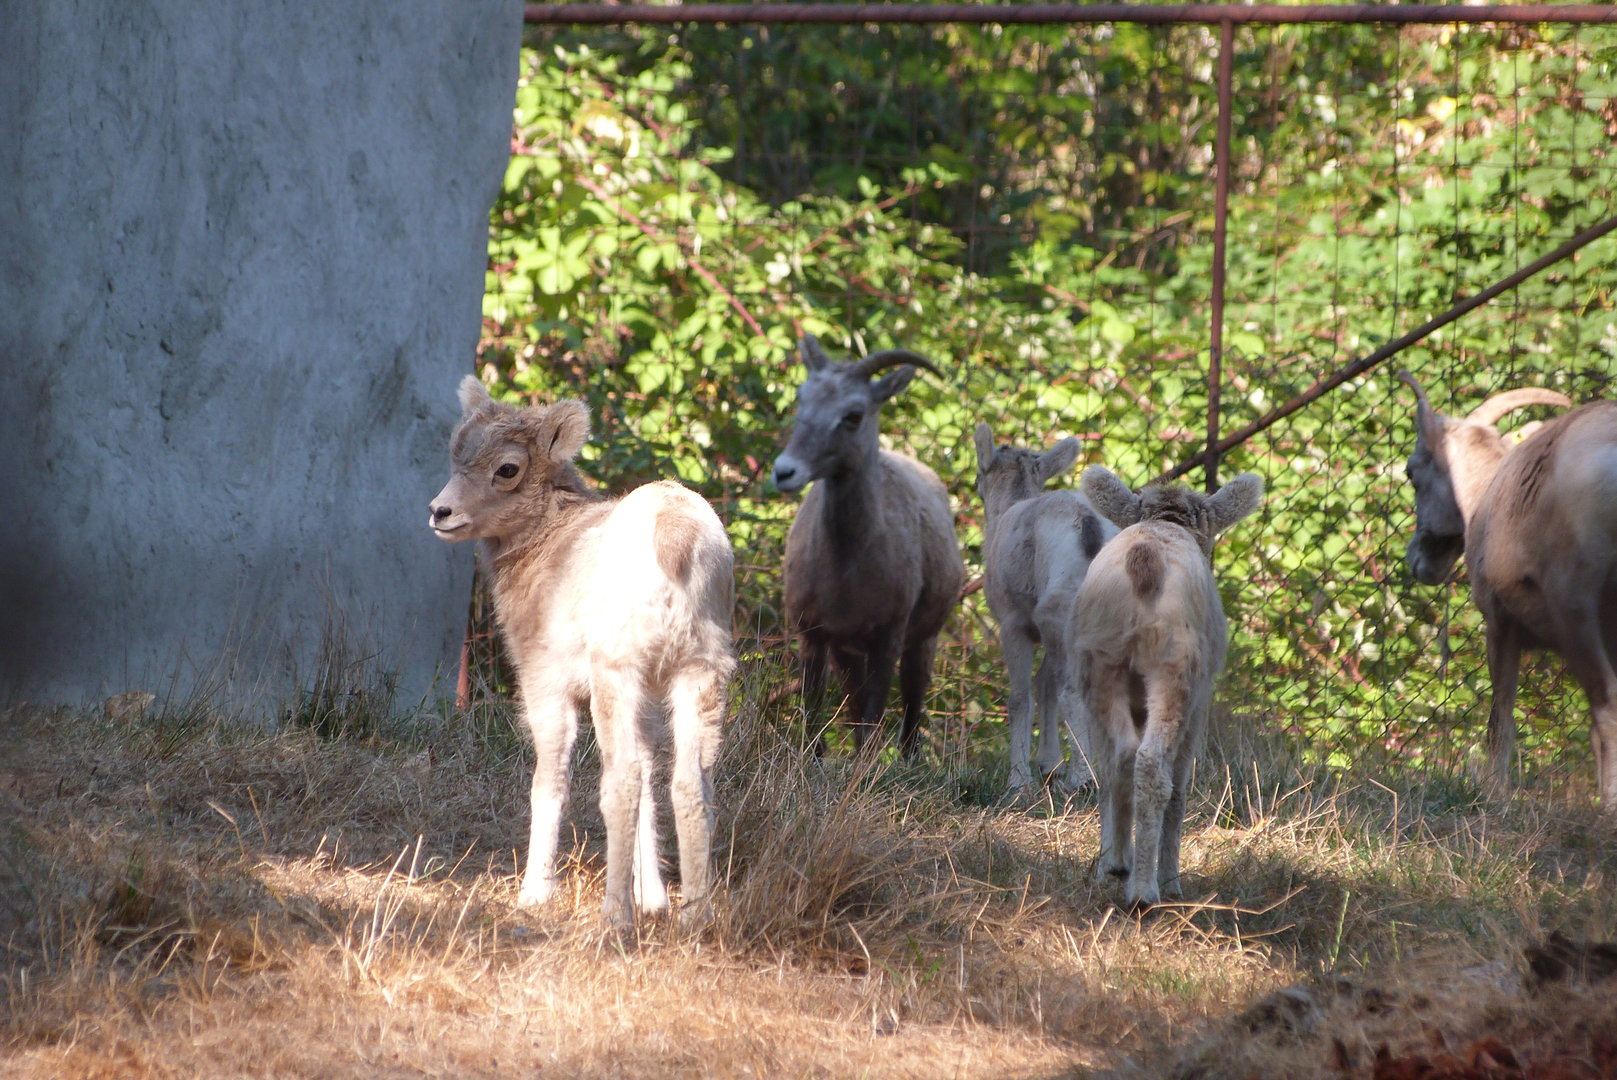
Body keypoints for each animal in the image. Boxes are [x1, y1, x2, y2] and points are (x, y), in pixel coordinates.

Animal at [428, 376, 735, 927]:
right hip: (699, 671)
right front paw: (653, 899)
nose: (440, 513)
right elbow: (652, 778)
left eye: (507, 468)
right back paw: (694, 918)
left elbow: (550, 782)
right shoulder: (650, 699)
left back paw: (614, 918)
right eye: (455, 452)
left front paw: (534, 894)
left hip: (617, 672)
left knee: (622, 782)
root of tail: (676, 539)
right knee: (689, 785)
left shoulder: (545, 684)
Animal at [772, 335, 965, 758]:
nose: (785, 472)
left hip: (923, 641)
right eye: (801, 398)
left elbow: (873, 720)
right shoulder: (814, 635)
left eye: (854, 414)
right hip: (847, 653)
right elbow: (815, 717)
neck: (846, 574)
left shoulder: (886, 640)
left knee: (911, 711)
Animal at [973, 422, 1118, 799]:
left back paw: (1082, 780)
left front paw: (1020, 781)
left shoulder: (1015, 624)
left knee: (1074, 692)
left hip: (1061, 612)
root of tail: (1089, 526)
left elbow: (1021, 696)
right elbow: (1045, 686)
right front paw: (1048, 766)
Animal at [1073, 467, 1263, 909]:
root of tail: (1145, 561)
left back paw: (1117, 864)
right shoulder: (1202, 700)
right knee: (1153, 765)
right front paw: (1173, 879)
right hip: (1177, 668)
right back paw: (1146, 889)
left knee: (1120, 758)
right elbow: (1180, 789)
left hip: (1099, 661)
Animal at [1398, 372, 1617, 806]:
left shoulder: (1501, 628)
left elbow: (1500, 721)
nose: (1417, 561)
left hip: (1577, 614)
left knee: (1607, 702)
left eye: (1411, 473)